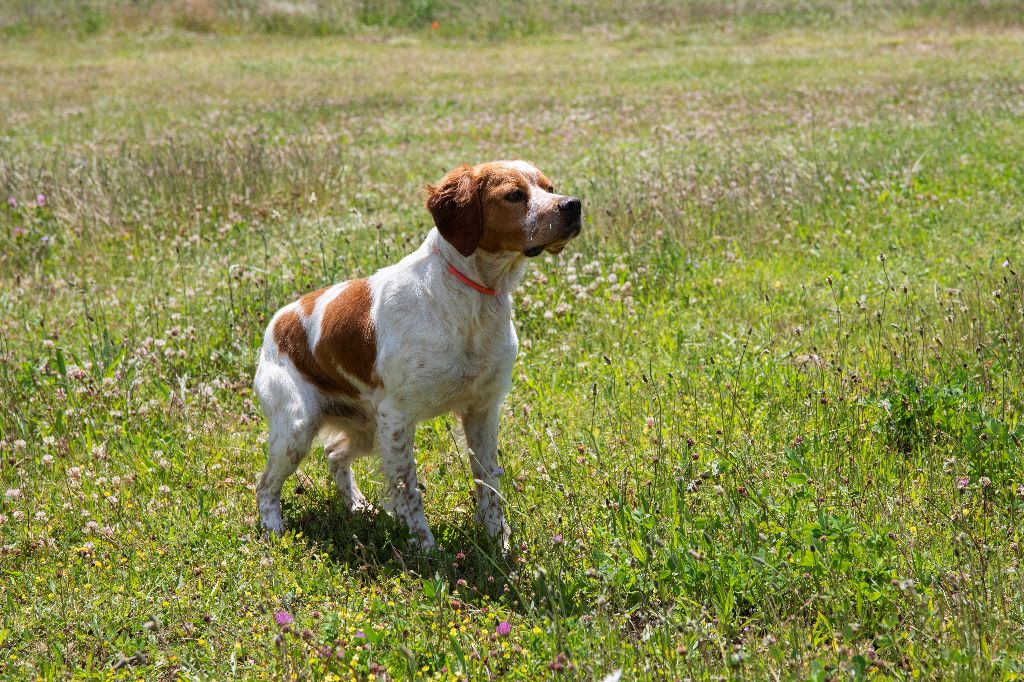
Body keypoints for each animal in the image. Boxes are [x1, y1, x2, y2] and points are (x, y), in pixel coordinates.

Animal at [251, 159, 581, 548]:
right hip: (298, 428)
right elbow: (408, 489)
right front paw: (425, 547)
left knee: (334, 454)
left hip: (365, 429)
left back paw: (358, 505)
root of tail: (277, 323)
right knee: (264, 486)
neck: (470, 300)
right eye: (514, 195)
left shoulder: (482, 410)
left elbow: (489, 484)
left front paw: (497, 541)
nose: (573, 205)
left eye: (550, 187)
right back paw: (274, 530)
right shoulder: (396, 416)